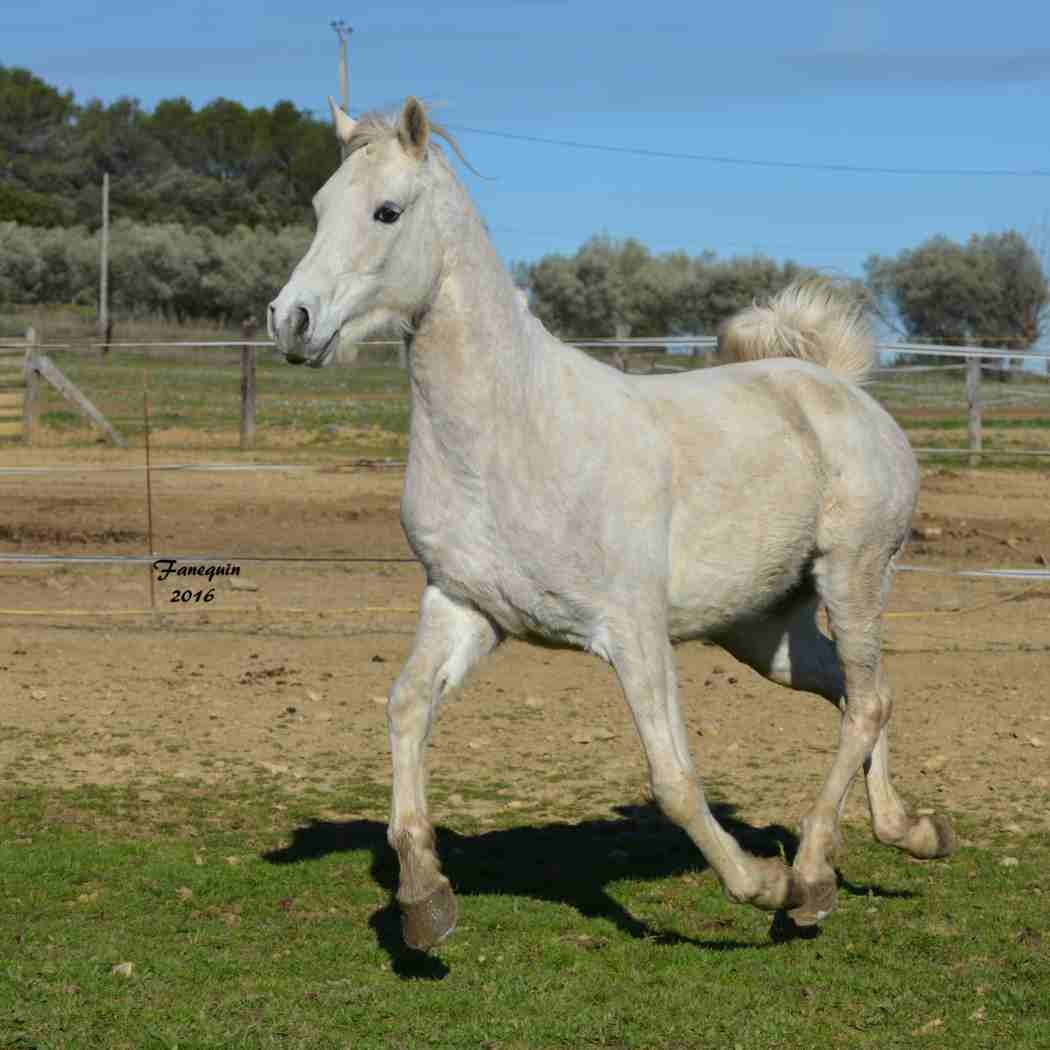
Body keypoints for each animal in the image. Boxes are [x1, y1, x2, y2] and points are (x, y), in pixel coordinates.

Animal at [268, 98, 953, 953]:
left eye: (386, 211)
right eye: (321, 205)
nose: (290, 321)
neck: (510, 436)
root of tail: (840, 387)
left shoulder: (632, 631)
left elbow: (673, 777)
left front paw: (758, 884)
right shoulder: (464, 606)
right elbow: (405, 707)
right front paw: (425, 899)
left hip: (853, 577)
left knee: (864, 704)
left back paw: (806, 878)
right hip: (763, 630)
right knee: (862, 694)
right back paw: (901, 835)